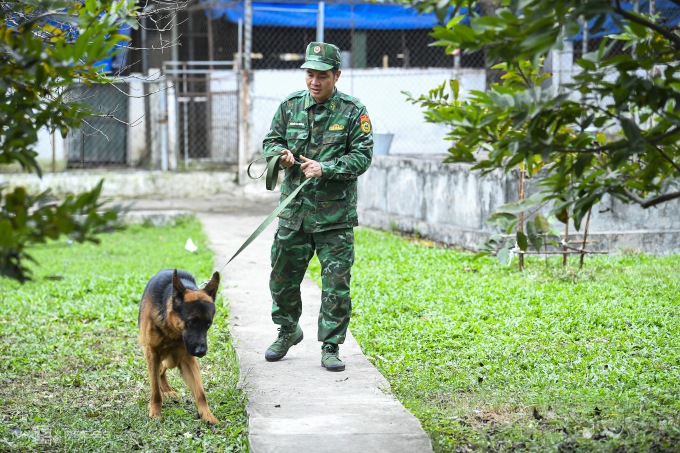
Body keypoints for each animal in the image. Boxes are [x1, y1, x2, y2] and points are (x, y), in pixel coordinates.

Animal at [138, 268, 220, 420]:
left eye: (208, 324)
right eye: (192, 321)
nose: (201, 352)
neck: (172, 331)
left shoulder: (187, 358)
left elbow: (200, 393)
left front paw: (207, 415)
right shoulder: (152, 352)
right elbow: (154, 388)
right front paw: (155, 411)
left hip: (171, 359)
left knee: (161, 370)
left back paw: (167, 390)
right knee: (157, 373)